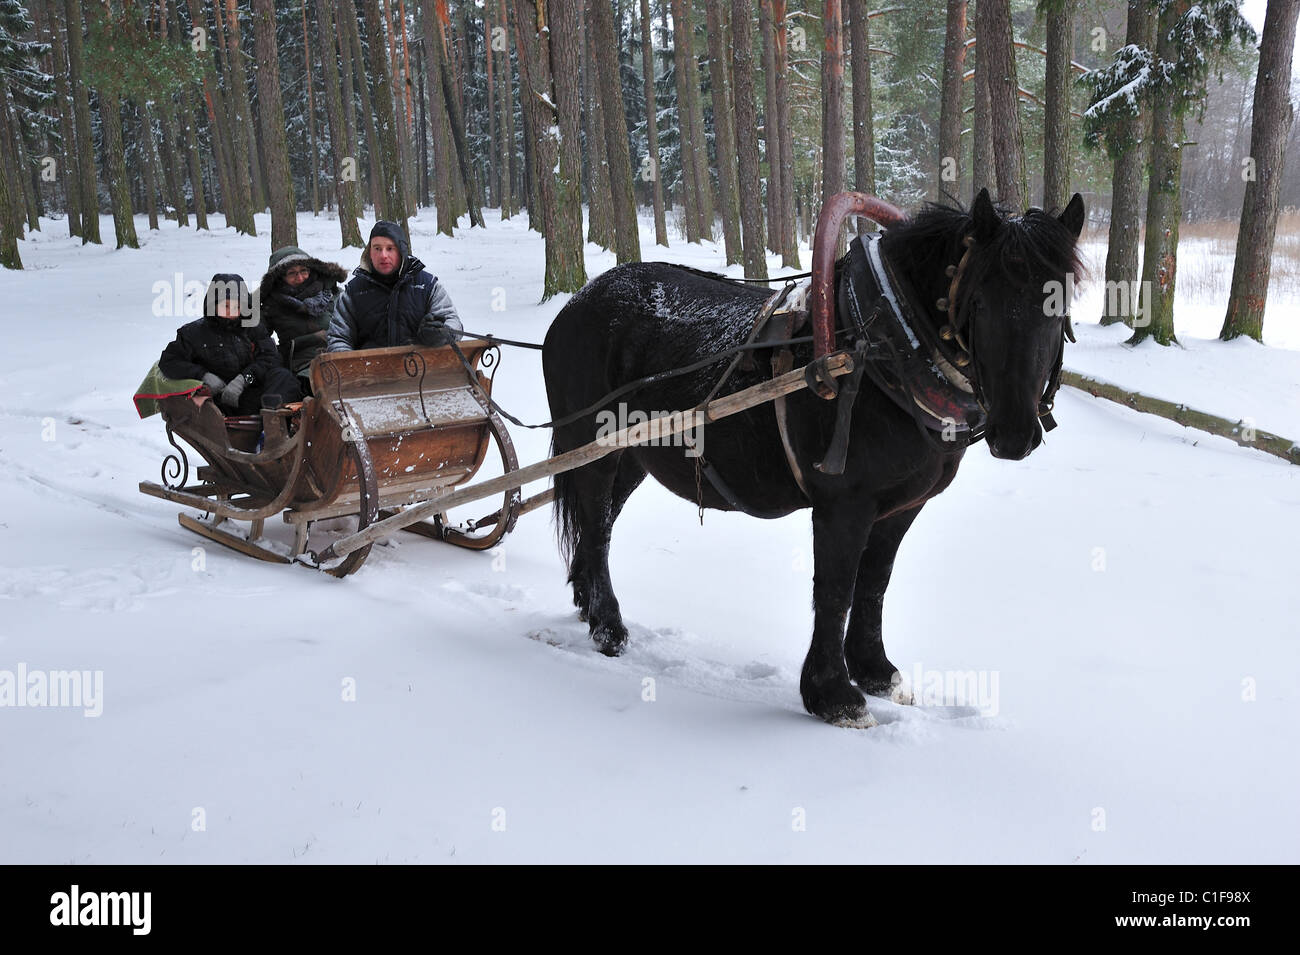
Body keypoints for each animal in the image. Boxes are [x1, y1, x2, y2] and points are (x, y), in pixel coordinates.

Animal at [538, 187, 1086, 727]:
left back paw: (587, 602)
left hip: (633, 458)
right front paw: (832, 695)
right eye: (979, 301)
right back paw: (608, 627)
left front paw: (875, 671)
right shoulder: (844, 505)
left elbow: (874, 584)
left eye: (1058, 305)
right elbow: (836, 588)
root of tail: (577, 301)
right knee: (596, 524)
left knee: (600, 524)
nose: (1014, 433)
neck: (884, 345)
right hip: (593, 448)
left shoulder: (901, 507)